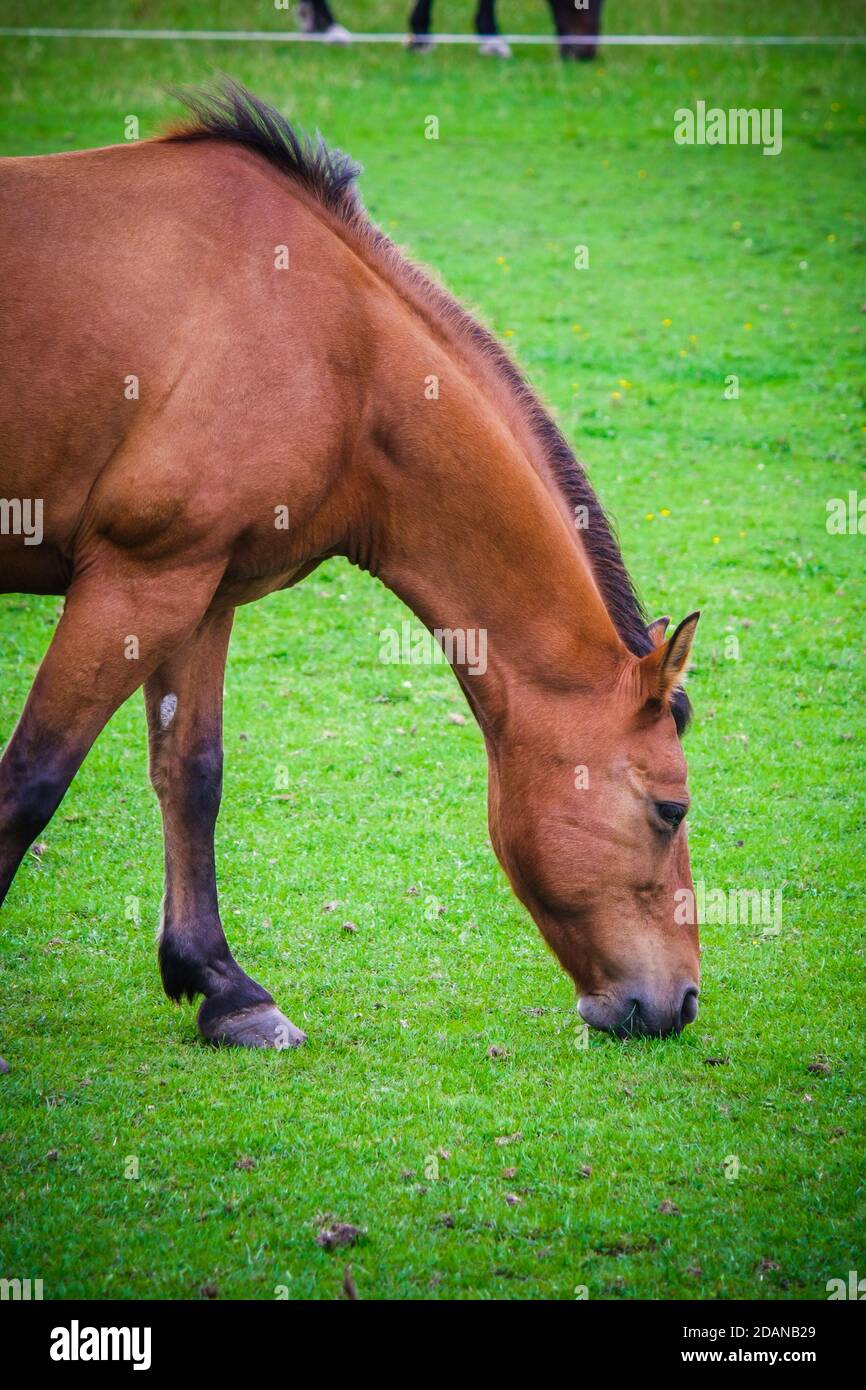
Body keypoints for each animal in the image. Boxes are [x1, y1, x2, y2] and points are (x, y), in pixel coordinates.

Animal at [0, 83, 700, 1060]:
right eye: (671, 810)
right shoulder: (135, 581)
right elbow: (30, 781)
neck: (336, 348)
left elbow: (193, 773)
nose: (685, 1001)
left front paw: (224, 990)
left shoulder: (195, 588)